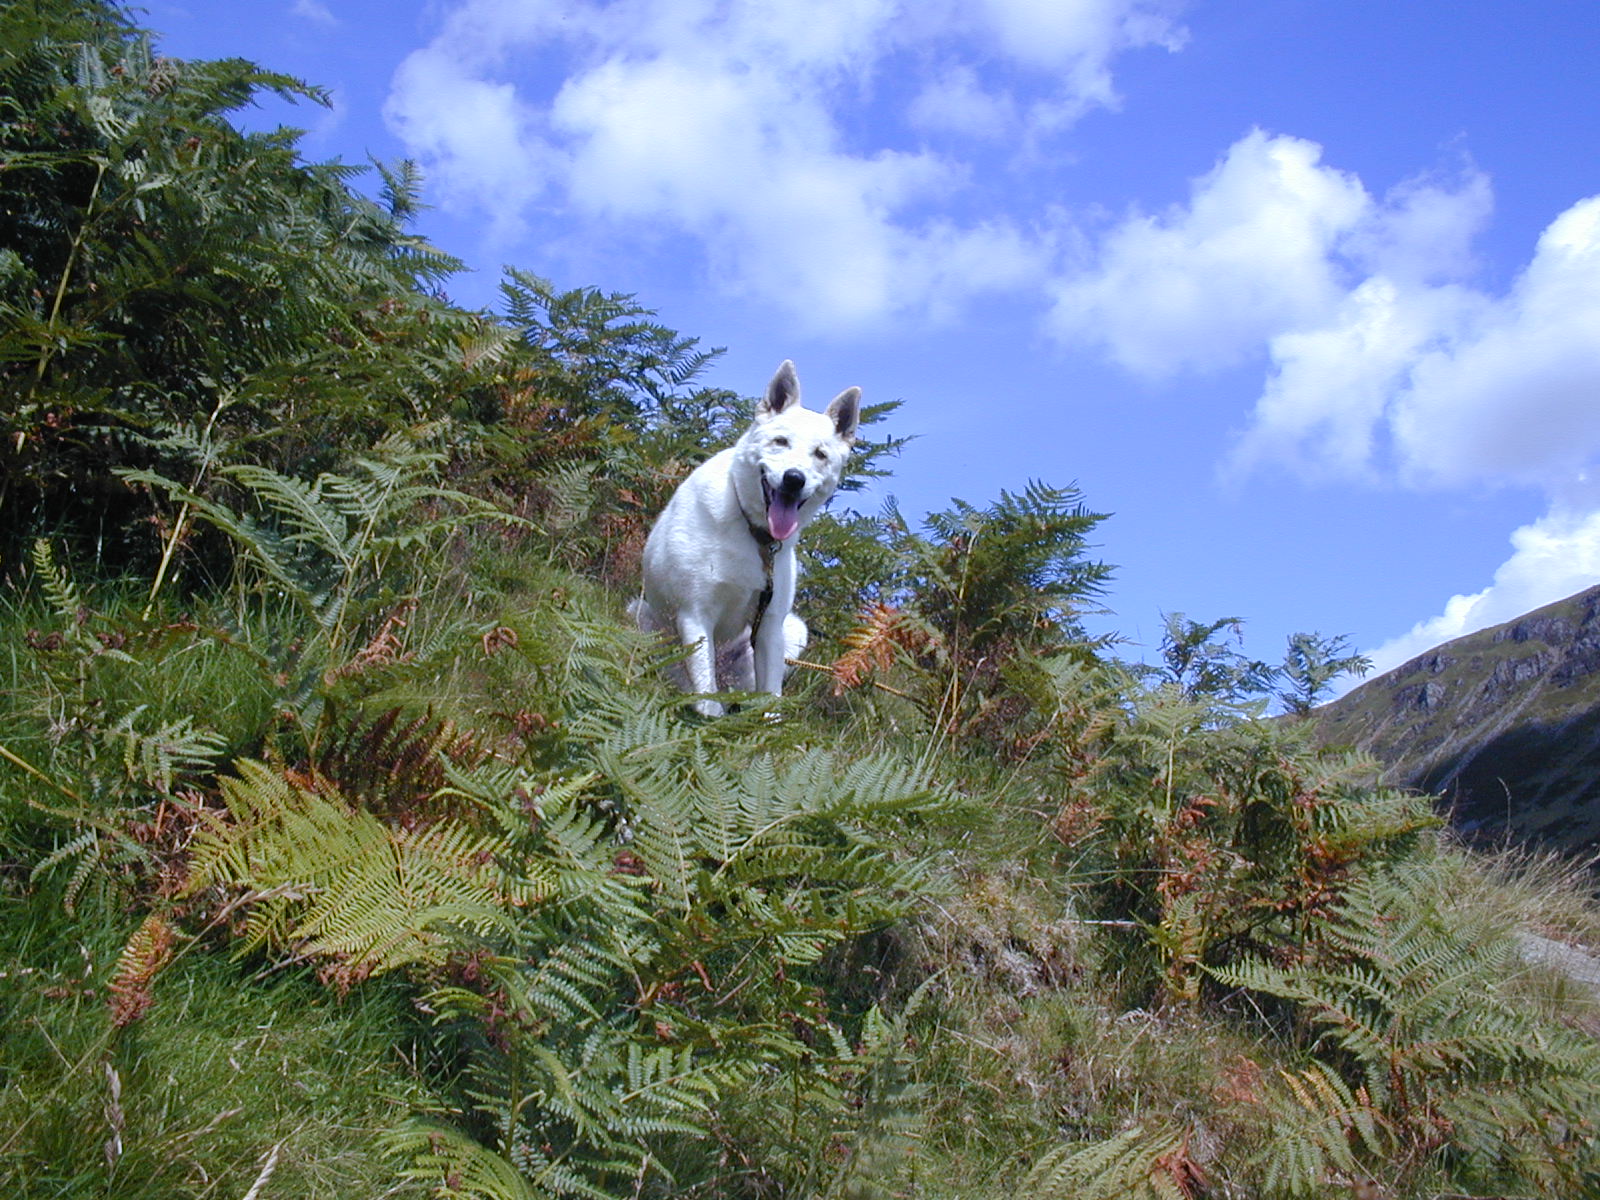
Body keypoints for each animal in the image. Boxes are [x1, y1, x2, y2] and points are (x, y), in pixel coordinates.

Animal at [633, 356, 864, 713]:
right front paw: (709, 716)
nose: (794, 479)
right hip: (643, 618)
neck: (754, 534)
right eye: (781, 442)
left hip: (791, 630)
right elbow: (705, 692)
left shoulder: (769, 626)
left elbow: (771, 700)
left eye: (820, 454)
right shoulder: (695, 615)